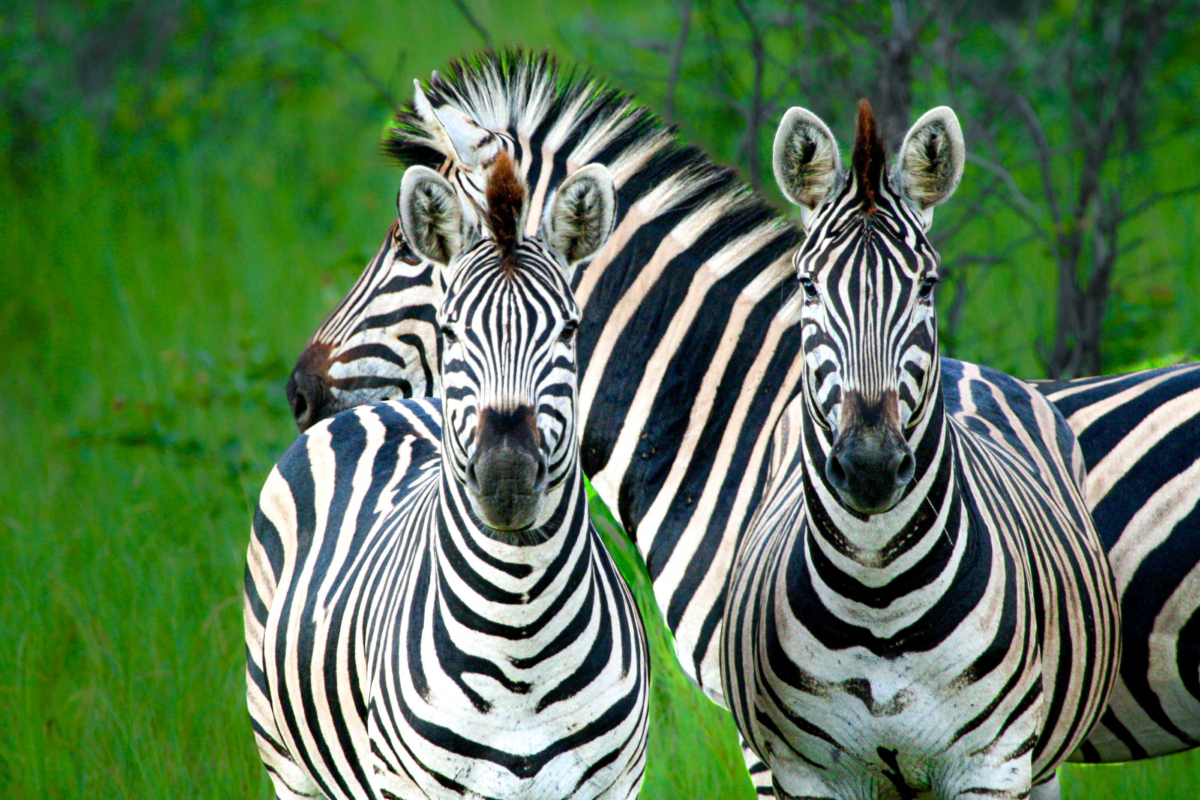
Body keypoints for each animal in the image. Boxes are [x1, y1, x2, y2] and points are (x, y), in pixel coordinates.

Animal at [244, 151, 651, 799]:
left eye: (570, 330)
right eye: (452, 330)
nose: (506, 475)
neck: (521, 644)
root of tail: (394, 404)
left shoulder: (616, 786)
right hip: (287, 766)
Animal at [720, 100, 1121, 799]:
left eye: (928, 286)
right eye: (808, 287)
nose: (870, 466)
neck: (879, 599)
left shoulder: (992, 765)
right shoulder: (806, 775)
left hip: (1043, 762)